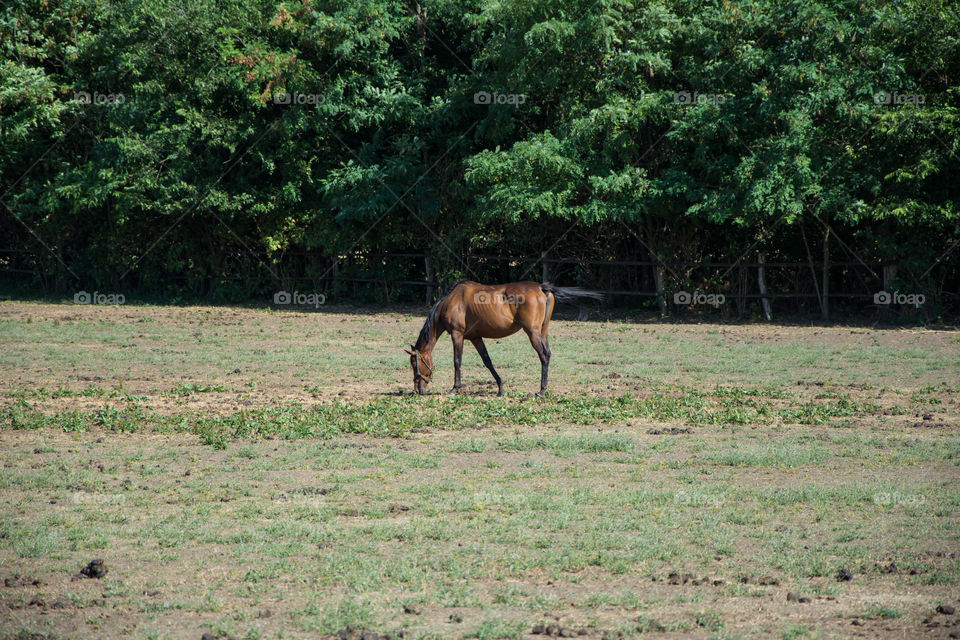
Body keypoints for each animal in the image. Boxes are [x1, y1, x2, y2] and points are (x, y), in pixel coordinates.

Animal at [404, 282, 600, 396]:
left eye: (414, 363)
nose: (418, 390)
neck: (452, 301)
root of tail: (540, 288)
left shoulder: (457, 335)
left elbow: (457, 361)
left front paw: (455, 388)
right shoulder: (475, 337)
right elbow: (487, 361)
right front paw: (500, 388)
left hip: (533, 333)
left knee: (544, 356)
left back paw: (541, 390)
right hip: (542, 332)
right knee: (548, 354)